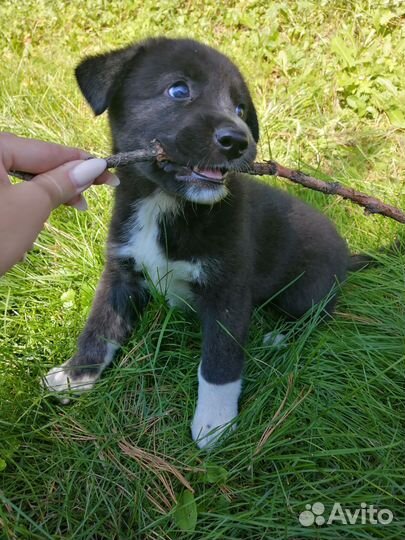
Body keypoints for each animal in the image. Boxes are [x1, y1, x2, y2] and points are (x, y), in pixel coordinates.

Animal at [43, 38, 348, 450]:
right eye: (178, 90)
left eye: (240, 108)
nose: (238, 142)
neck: (163, 202)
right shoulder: (121, 272)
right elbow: (99, 326)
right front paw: (77, 376)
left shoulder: (228, 290)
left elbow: (219, 361)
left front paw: (215, 424)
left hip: (306, 290)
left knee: (318, 317)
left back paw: (279, 336)